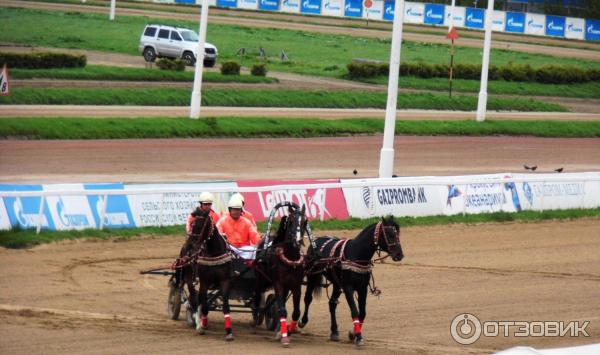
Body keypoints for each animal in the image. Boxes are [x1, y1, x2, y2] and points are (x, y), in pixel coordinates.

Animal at [253, 203, 310, 348]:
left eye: (305, 221)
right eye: (291, 221)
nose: (297, 241)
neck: (290, 258)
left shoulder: (296, 286)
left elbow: (296, 312)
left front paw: (287, 331)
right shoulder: (278, 284)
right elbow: (282, 310)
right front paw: (284, 337)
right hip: (260, 280)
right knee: (257, 296)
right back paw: (256, 318)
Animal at [300, 216, 404, 346]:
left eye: (398, 234)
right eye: (390, 234)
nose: (399, 255)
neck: (356, 254)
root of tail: (316, 241)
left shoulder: (362, 288)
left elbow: (362, 313)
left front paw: (353, 333)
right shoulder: (348, 288)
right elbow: (354, 311)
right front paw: (358, 336)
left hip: (336, 284)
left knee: (332, 303)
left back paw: (334, 331)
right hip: (312, 276)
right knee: (308, 298)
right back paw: (302, 321)